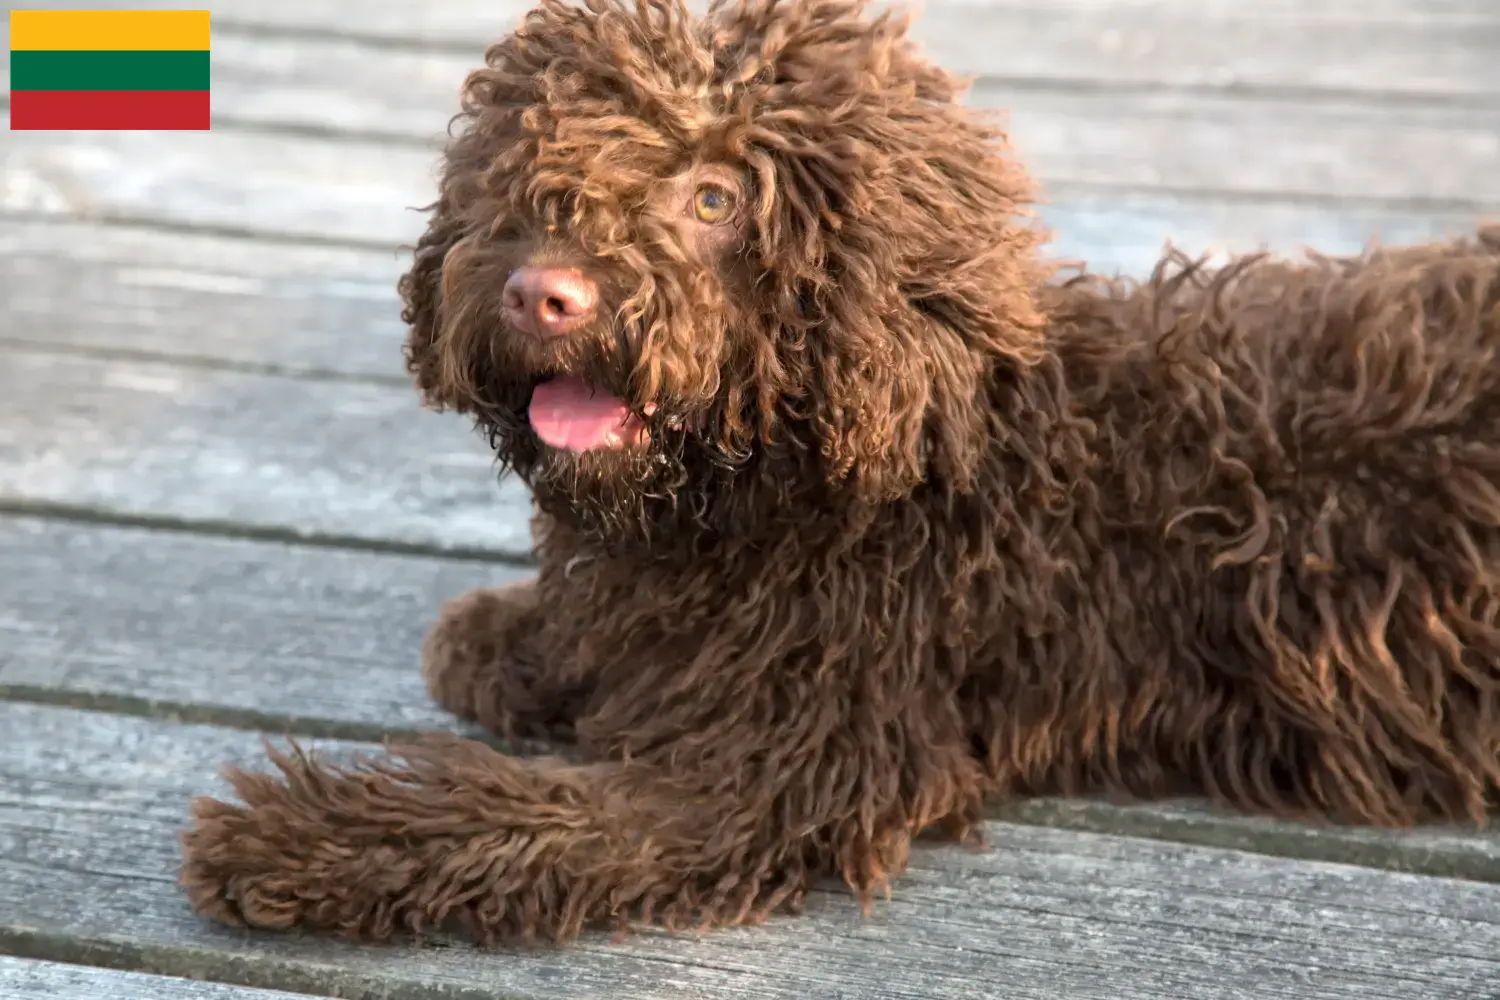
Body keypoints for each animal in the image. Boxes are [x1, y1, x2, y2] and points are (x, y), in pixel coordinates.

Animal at [184, 0, 1500, 947]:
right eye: (533, 172)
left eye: (715, 197)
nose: (540, 292)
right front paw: (509, 634)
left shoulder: (775, 765)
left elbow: (515, 818)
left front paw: (287, 837)